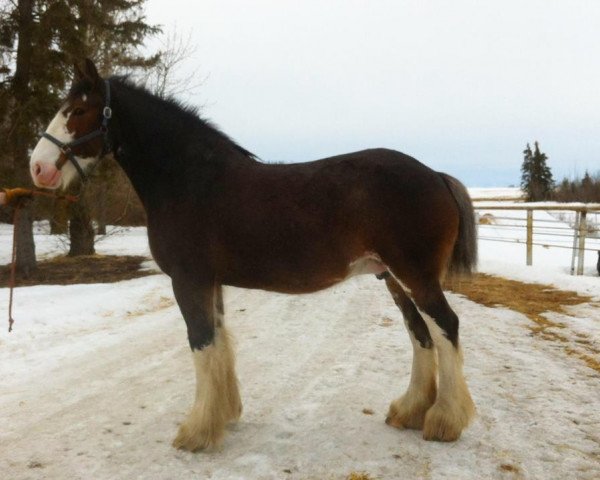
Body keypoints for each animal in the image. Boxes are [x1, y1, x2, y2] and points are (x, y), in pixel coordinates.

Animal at [29, 59, 478, 450]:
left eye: (78, 110)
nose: (38, 169)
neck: (189, 179)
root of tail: (435, 175)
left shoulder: (188, 280)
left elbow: (201, 343)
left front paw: (196, 432)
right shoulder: (210, 282)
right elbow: (219, 343)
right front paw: (223, 415)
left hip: (414, 276)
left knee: (446, 328)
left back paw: (444, 421)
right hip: (392, 277)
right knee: (420, 334)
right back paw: (410, 411)